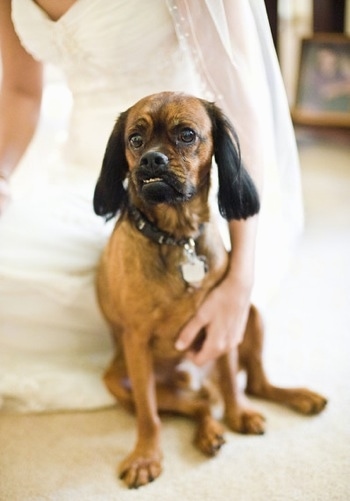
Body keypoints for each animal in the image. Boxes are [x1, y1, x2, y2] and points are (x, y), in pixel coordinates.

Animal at [92, 92, 326, 486]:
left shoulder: (223, 323)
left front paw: (239, 414)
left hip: (251, 315)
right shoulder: (137, 343)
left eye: (186, 135)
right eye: (134, 140)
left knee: (253, 385)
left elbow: (232, 378)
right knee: (198, 405)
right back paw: (210, 432)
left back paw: (294, 398)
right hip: (121, 382)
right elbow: (149, 415)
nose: (152, 158)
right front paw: (146, 455)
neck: (177, 236)